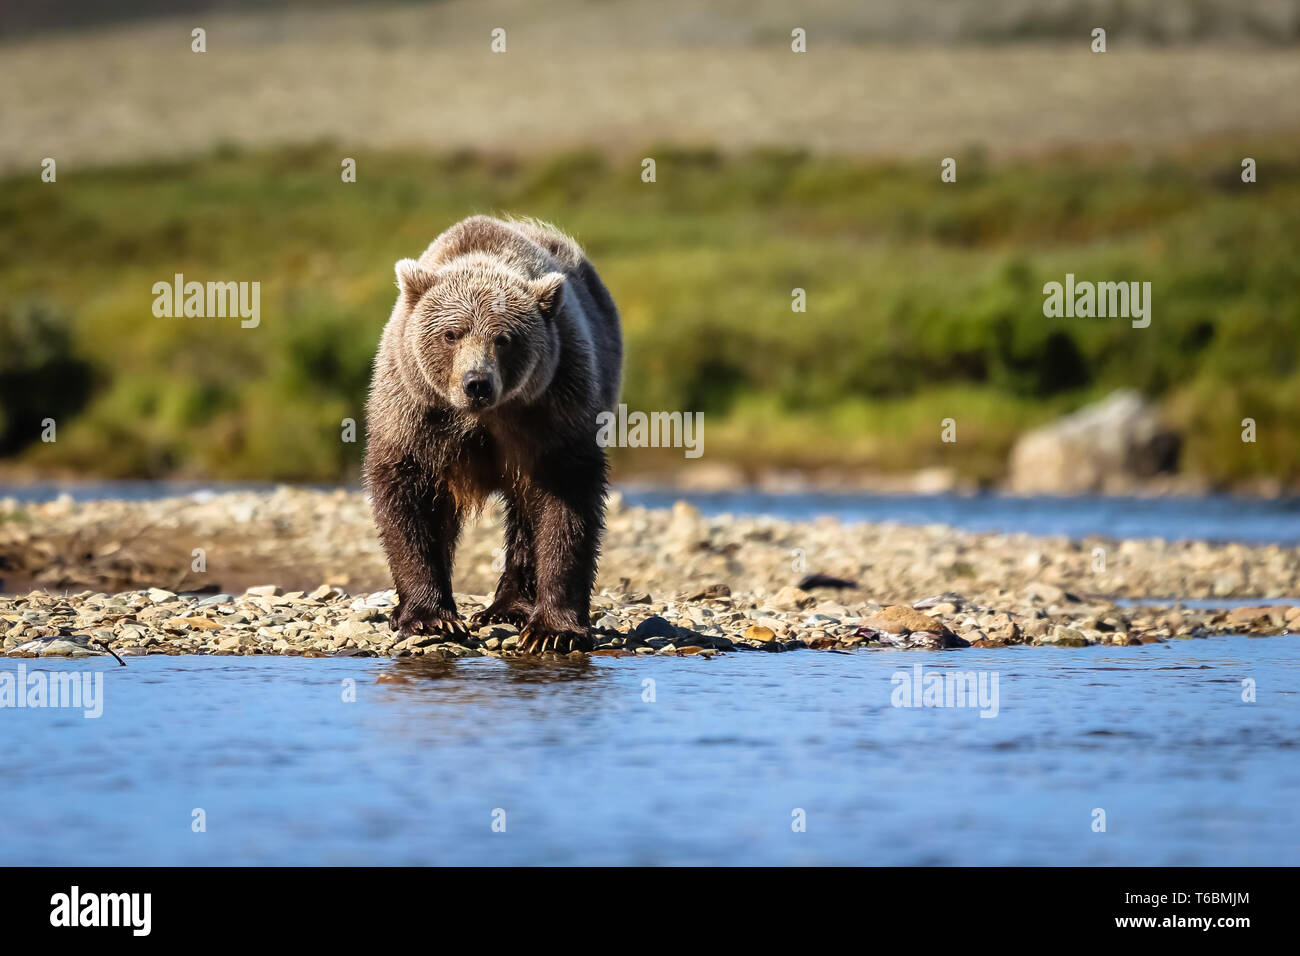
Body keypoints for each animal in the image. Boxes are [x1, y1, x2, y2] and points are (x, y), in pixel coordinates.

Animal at [364, 214, 621, 655]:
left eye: (504, 338)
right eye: (451, 333)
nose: (477, 383)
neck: (481, 420)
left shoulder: (555, 408)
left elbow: (566, 507)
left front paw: (552, 630)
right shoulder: (414, 412)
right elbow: (408, 499)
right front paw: (430, 617)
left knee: (525, 515)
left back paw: (509, 607)